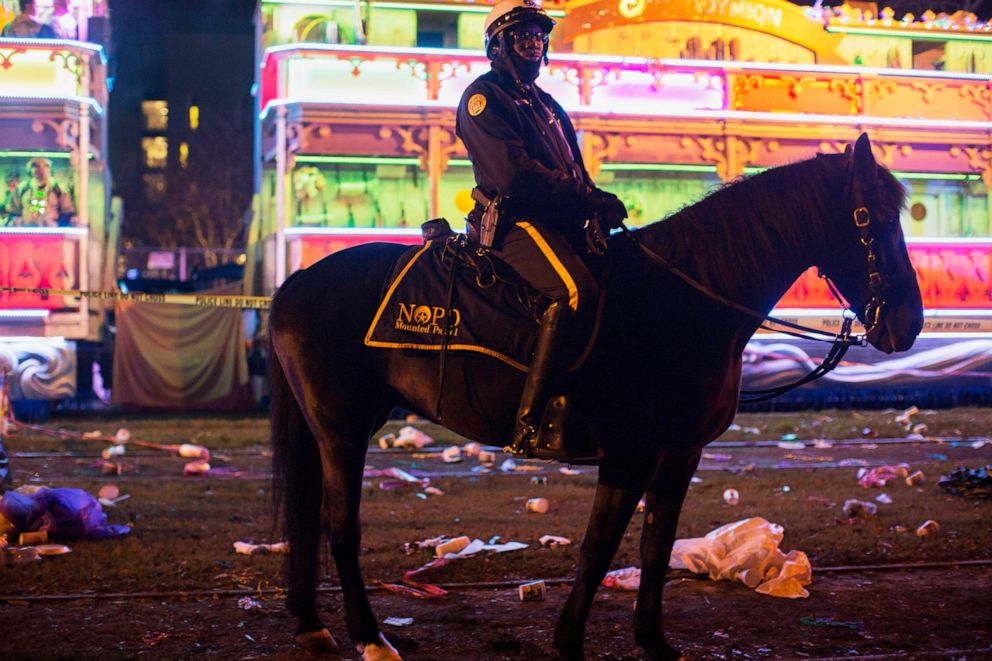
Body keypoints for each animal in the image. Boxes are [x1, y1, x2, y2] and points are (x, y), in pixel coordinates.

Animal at [270, 135, 924, 660]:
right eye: (868, 218)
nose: (908, 324)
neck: (685, 299)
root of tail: (294, 284)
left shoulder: (678, 456)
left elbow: (655, 547)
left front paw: (653, 643)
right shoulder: (629, 455)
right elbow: (598, 547)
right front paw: (568, 641)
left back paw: (311, 625)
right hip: (341, 429)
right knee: (339, 526)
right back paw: (370, 638)